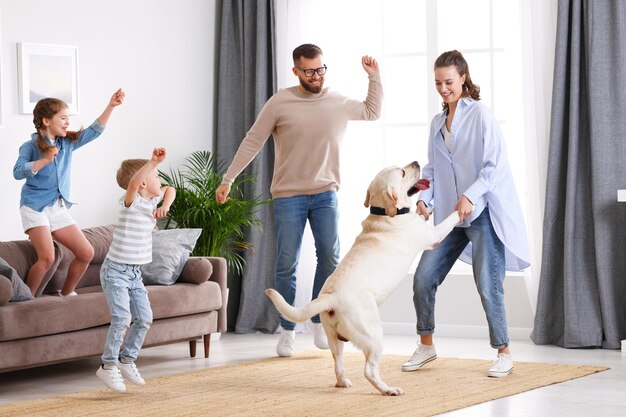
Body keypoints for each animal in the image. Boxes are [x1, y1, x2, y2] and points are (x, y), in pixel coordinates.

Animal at [264, 161, 458, 394]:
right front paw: (464, 206)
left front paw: (427, 208)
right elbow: (451, 219)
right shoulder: (432, 236)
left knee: (338, 364)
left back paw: (343, 382)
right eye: (402, 172)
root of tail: (330, 297)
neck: (385, 213)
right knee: (369, 370)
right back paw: (388, 389)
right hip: (373, 335)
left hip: (334, 340)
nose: (416, 163)